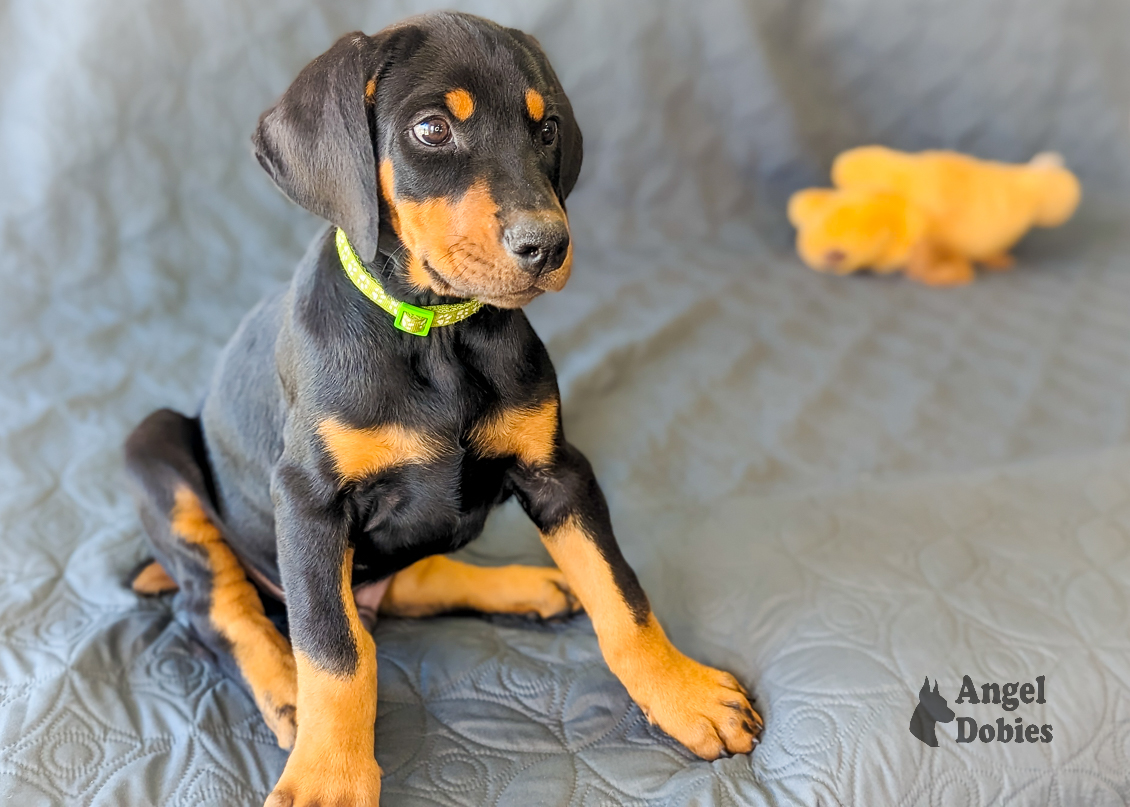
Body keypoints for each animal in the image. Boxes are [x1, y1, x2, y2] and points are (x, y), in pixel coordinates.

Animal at [121, 12, 759, 804]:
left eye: (546, 128)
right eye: (431, 129)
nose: (547, 244)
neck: (438, 332)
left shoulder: (558, 468)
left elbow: (621, 592)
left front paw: (683, 693)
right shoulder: (306, 499)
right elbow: (333, 648)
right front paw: (329, 775)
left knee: (402, 584)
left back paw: (524, 584)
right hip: (153, 448)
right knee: (220, 604)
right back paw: (286, 690)